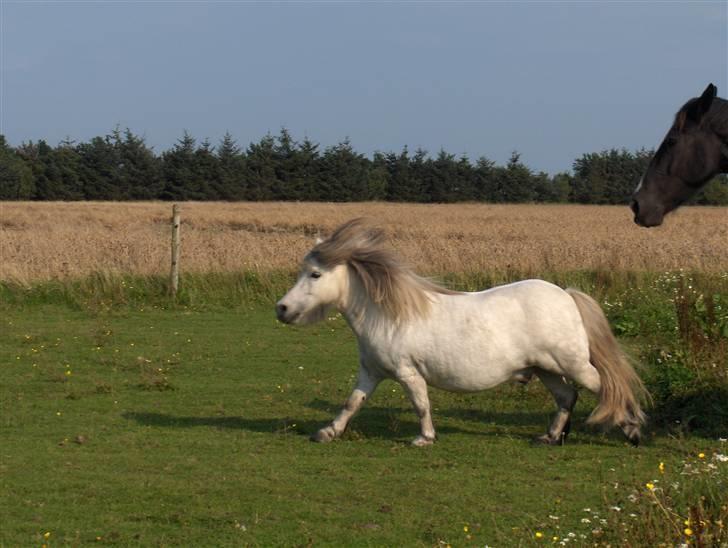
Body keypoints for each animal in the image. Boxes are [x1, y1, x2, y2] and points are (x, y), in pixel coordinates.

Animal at [276, 218, 644, 446]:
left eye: (315, 274)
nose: (282, 309)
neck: (388, 315)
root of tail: (566, 295)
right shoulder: (371, 373)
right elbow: (352, 403)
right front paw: (327, 432)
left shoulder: (407, 373)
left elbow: (421, 404)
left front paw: (424, 438)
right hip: (546, 369)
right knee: (567, 397)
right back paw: (550, 438)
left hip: (573, 365)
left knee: (609, 389)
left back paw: (633, 430)